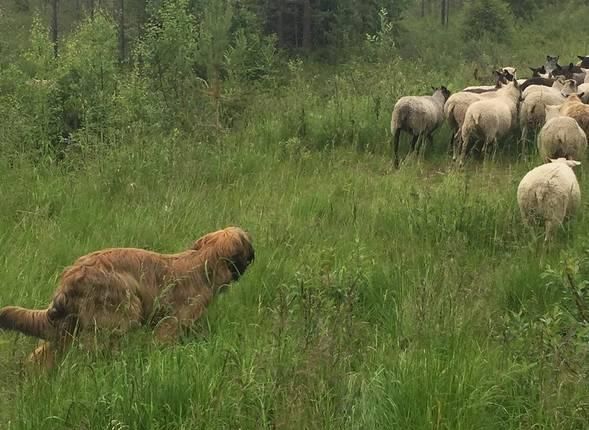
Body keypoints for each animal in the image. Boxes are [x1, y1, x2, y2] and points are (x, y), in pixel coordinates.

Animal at [0, 227, 252, 368]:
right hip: (123, 312)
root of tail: (69, 277)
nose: (253, 256)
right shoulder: (174, 321)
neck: (204, 262)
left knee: (44, 353)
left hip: (70, 327)